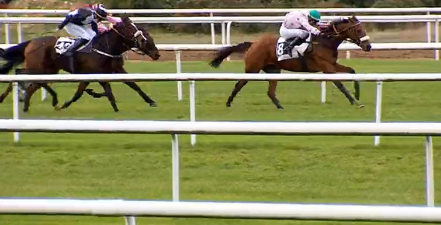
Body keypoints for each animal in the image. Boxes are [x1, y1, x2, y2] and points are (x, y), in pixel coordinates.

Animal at [0, 17, 160, 112]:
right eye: (130, 29)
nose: (157, 54)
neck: (105, 47)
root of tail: (31, 42)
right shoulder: (98, 74)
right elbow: (108, 92)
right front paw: (115, 109)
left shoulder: (115, 70)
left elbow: (133, 84)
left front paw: (151, 101)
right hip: (38, 67)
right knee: (21, 74)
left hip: (49, 69)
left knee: (34, 83)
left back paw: (27, 105)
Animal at [210, 15, 372, 109]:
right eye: (358, 30)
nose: (368, 46)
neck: (325, 41)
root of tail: (254, 43)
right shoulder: (326, 67)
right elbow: (339, 84)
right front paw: (354, 101)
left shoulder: (332, 64)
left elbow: (352, 71)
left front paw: (357, 95)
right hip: (252, 69)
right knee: (239, 83)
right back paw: (228, 103)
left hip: (273, 70)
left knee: (270, 92)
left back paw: (280, 106)